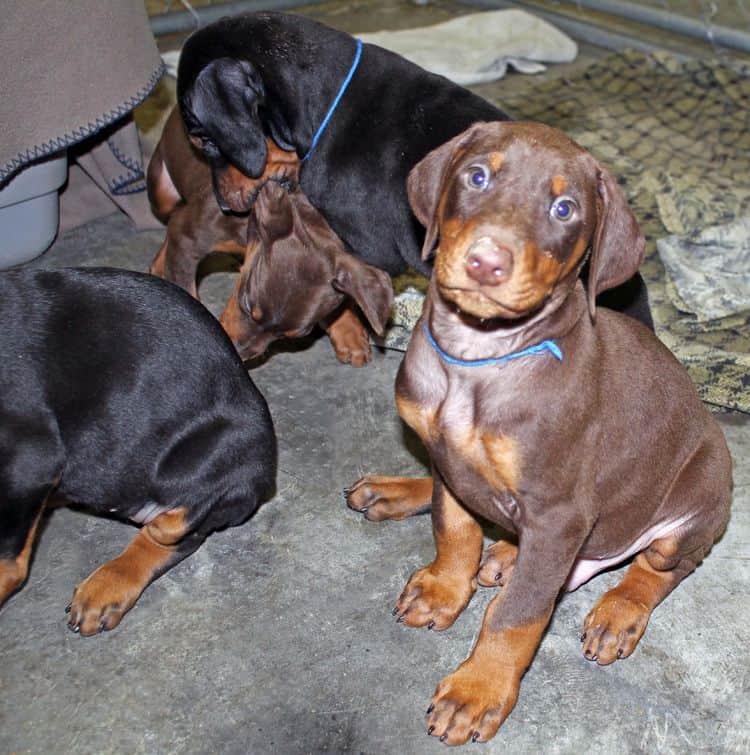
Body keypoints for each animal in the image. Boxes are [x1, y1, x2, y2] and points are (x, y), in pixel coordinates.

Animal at [148, 106, 394, 366]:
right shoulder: (188, 234)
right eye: (247, 303)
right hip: (161, 193)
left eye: (294, 335)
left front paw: (348, 330)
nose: (238, 353)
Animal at [348, 124, 736, 744]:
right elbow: (454, 528)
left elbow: (518, 612)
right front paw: (444, 589)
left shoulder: (560, 513)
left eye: (564, 209)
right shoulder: (448, 459)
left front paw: (477, 691)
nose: (486, 262)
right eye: (477, 176)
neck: (478, 360)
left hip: (694, 498)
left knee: (657, 567)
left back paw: (617, 612)